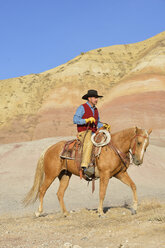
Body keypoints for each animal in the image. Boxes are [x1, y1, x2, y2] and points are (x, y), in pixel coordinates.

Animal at [23, 127, 152, 216]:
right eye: (139, 142)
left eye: (147, 145)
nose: (138, 161)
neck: (113, 148)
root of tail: (49, 149)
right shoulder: (105, 175)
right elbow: (102, 193)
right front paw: (100, 212)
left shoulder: (120, 174)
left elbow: (133, 186)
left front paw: (134, 208)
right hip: (51, 174)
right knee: (42, 190)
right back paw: (38, 212)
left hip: (65, 175)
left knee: (59, 193)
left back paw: (65, 213)